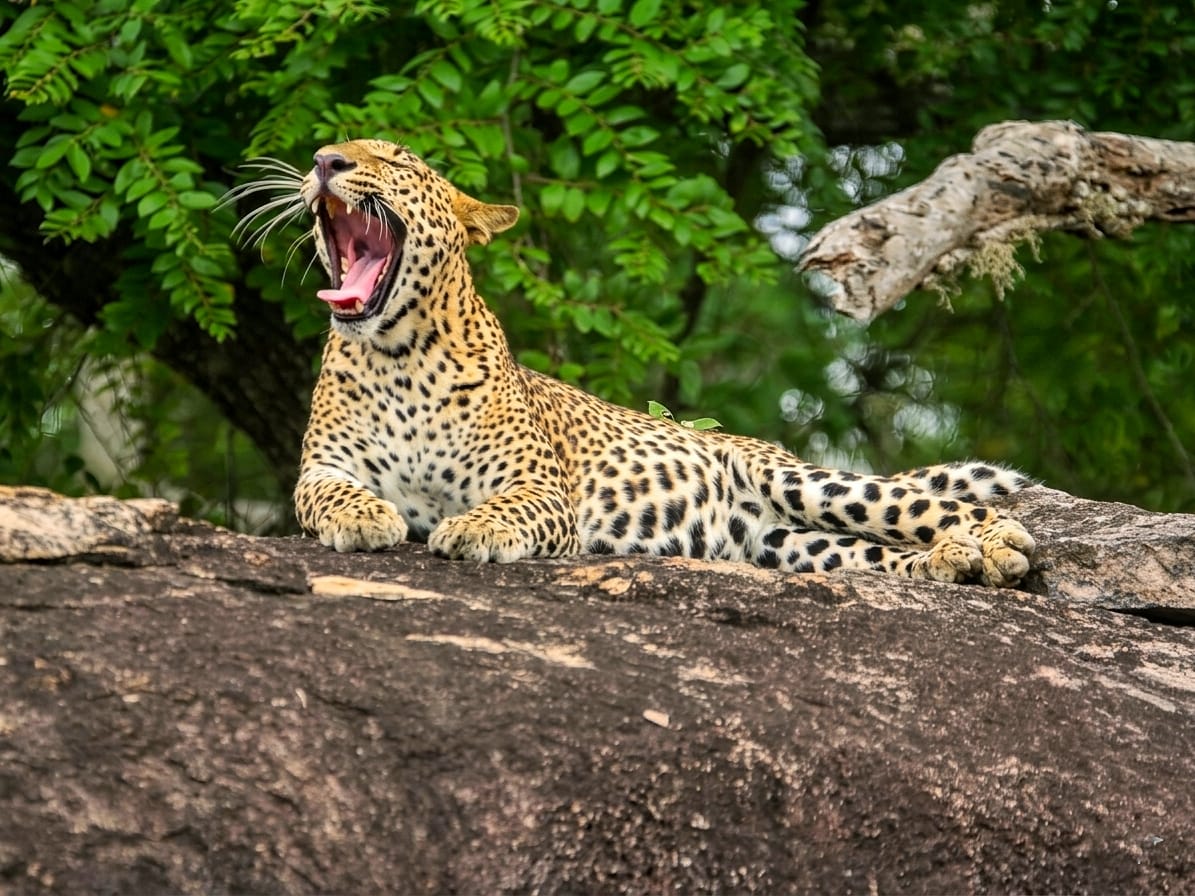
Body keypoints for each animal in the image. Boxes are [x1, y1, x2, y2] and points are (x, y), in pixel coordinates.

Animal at [231, 138, 1036, 587]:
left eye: (394, 160)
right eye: (330, 151)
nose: (324, 162)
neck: (398, 354)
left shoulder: (540, 487)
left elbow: (504, 507)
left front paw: (472, 530)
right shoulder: (322, 467)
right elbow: (329, 496)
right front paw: (368, 517)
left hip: (805, 483)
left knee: (938, 506)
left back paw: (997, 546)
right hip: (785, 543)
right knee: (870, 552)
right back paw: (950, 563)